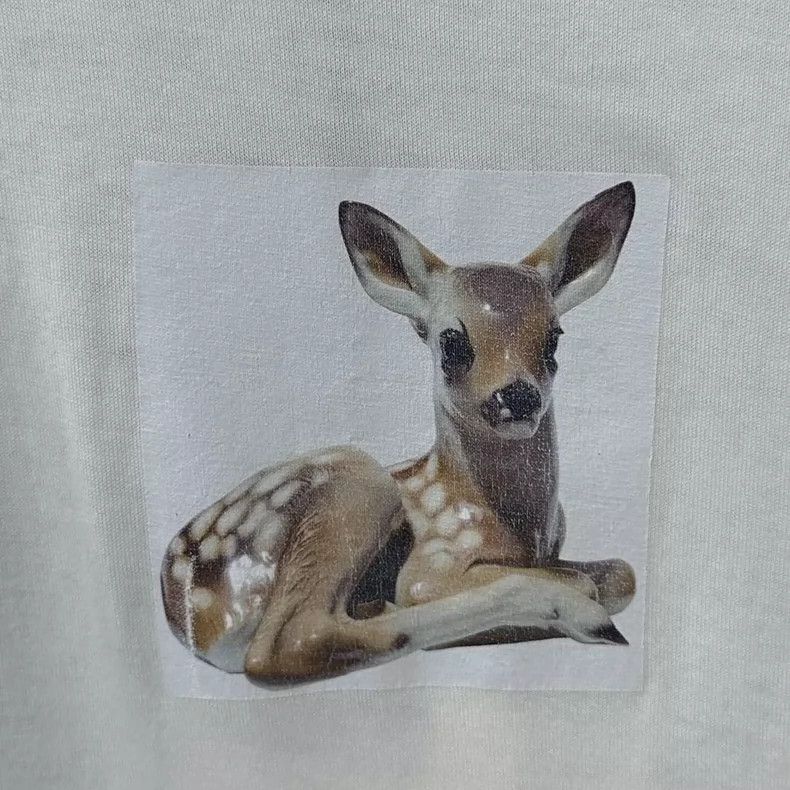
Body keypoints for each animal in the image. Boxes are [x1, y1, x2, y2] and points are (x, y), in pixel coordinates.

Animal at [161, 181, 638, 685]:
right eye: (452, 342)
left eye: (554, 337)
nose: (519, 396)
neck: (521, 532)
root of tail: (187, 618)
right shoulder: (432, 564)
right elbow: (573, 581)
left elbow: (622, 573)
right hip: (356, 484)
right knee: (289, 644)